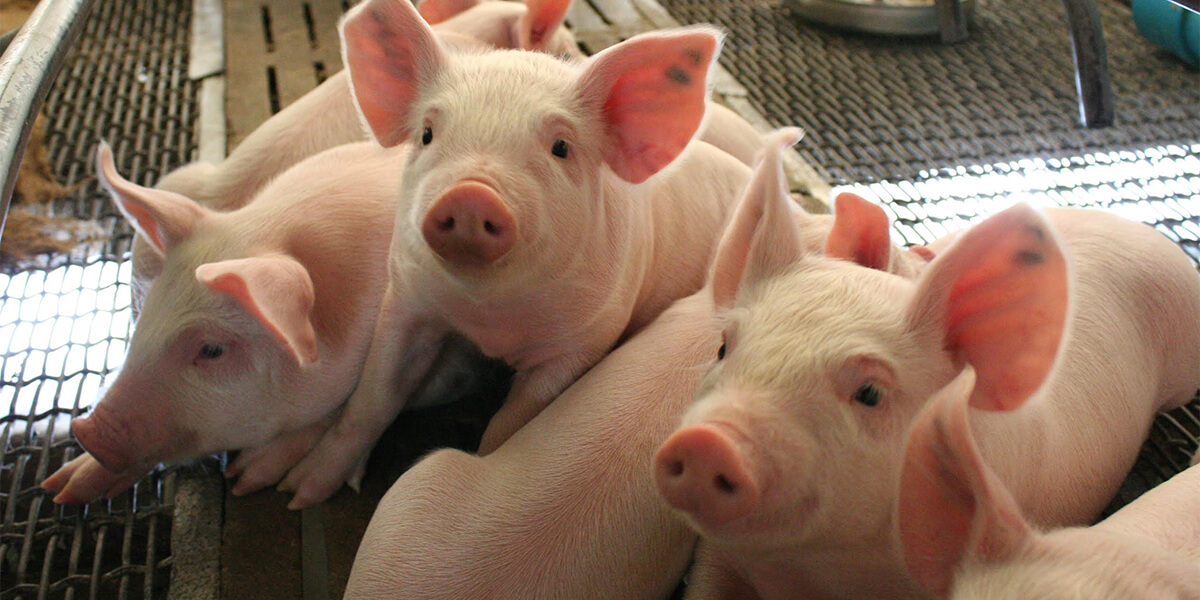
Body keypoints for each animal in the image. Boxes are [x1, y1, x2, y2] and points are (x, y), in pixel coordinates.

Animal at [42, 140, 480, 501]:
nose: (87, 431)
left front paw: (253, 480)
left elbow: (359, 402)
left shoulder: (450, 361)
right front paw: (62, 488)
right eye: (147, 314)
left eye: (212, 349)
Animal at [274, 0, 758, 508]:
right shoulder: (406, 300)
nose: (471, 194)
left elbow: (508, 427)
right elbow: (372, 398)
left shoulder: (581, 343)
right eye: (427, 133)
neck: (489, 318)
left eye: (561, 147)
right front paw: (296, 493)